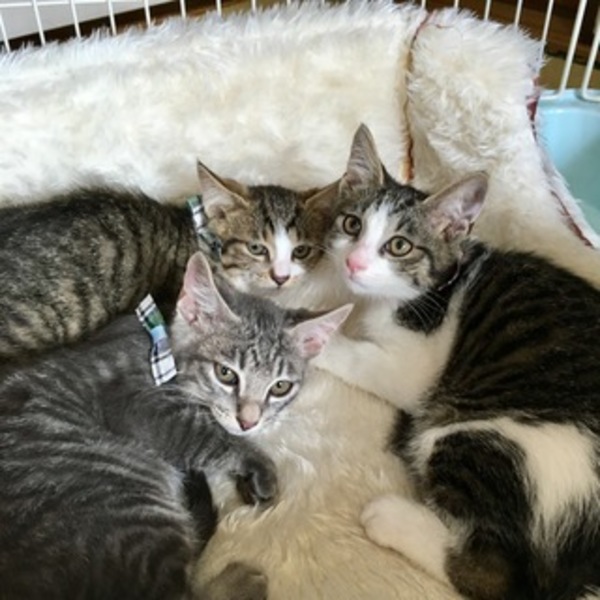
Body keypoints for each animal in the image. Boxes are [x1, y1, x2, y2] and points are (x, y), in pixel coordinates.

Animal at [0, 251, 350, 599]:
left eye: (280, 387)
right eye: (226, 374)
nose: (248, 421)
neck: (159, 340)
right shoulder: (138, 403)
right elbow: (206, 433)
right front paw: (258, 463)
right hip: (127, 505)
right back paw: (242, 582)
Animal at [315, 124, 600, 600]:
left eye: (398, 246)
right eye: (351, 225)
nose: (353, 262)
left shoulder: (414, 367)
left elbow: (363, 357)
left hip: (483, 436)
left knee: (494, 574)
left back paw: (389, 517)